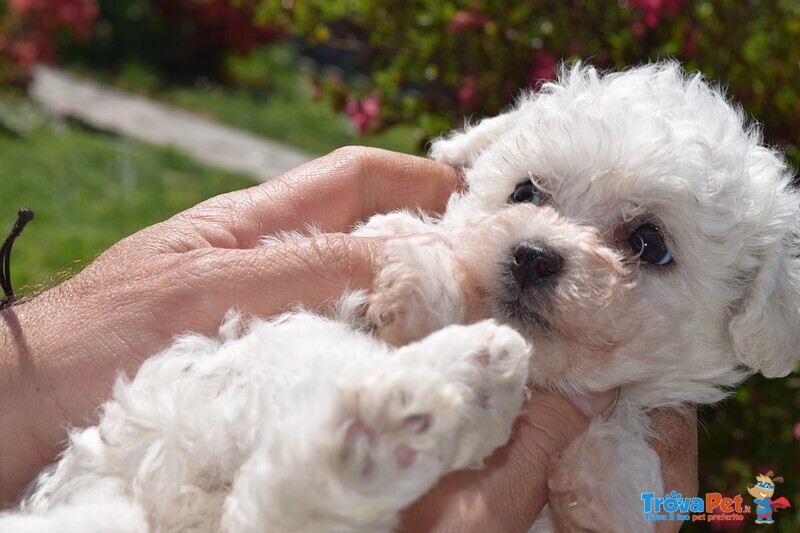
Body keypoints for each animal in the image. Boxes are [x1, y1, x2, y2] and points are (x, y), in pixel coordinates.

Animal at [3, 63, 796, 532]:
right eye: (525, 192)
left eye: (649, 244)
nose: (533, 253)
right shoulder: (349, 265)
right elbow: (404, 243)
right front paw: (421, 287)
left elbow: (623, 443)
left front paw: (610, 482)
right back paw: (435, 394)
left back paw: (420, 413)